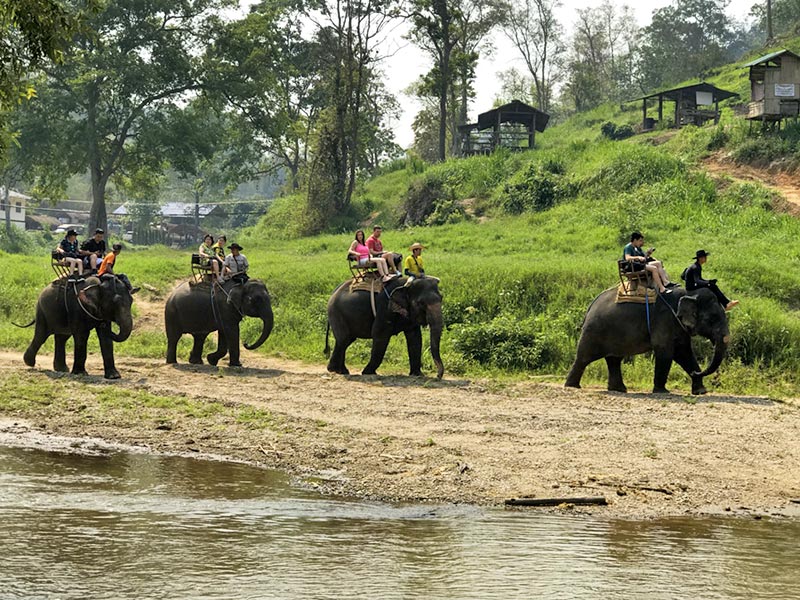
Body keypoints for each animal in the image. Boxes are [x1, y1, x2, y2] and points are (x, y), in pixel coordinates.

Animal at [564, 286, 732, 394]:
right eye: (712, 319)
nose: (697, 372)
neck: (688, 293)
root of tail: (590, 306)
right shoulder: (664, 320)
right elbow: (665, 352)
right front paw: (662, 392)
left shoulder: (678, 325)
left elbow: (684, 352)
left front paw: (701, 392)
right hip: (594, 331)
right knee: (584, 358)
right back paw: (572, 387)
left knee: (614, 359)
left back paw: (619, 390)